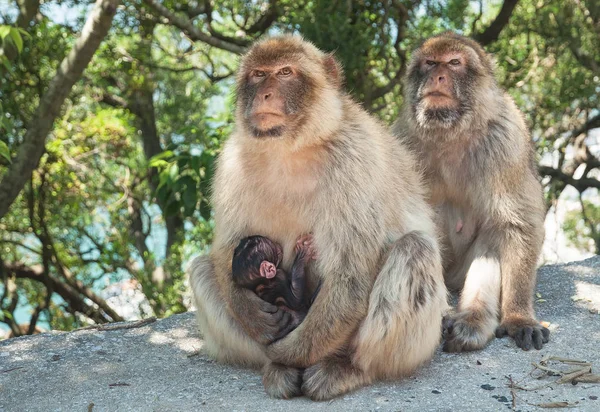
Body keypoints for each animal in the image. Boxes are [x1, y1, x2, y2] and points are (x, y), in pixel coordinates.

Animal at [392, 32, 552, 352]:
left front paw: (519, 317)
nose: (438, 76)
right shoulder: (401, 141)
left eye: (454, 62)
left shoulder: (507, 141)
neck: (452, 133)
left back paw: (473, 322)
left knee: (493, 236)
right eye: (430, 63)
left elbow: (518, 225)